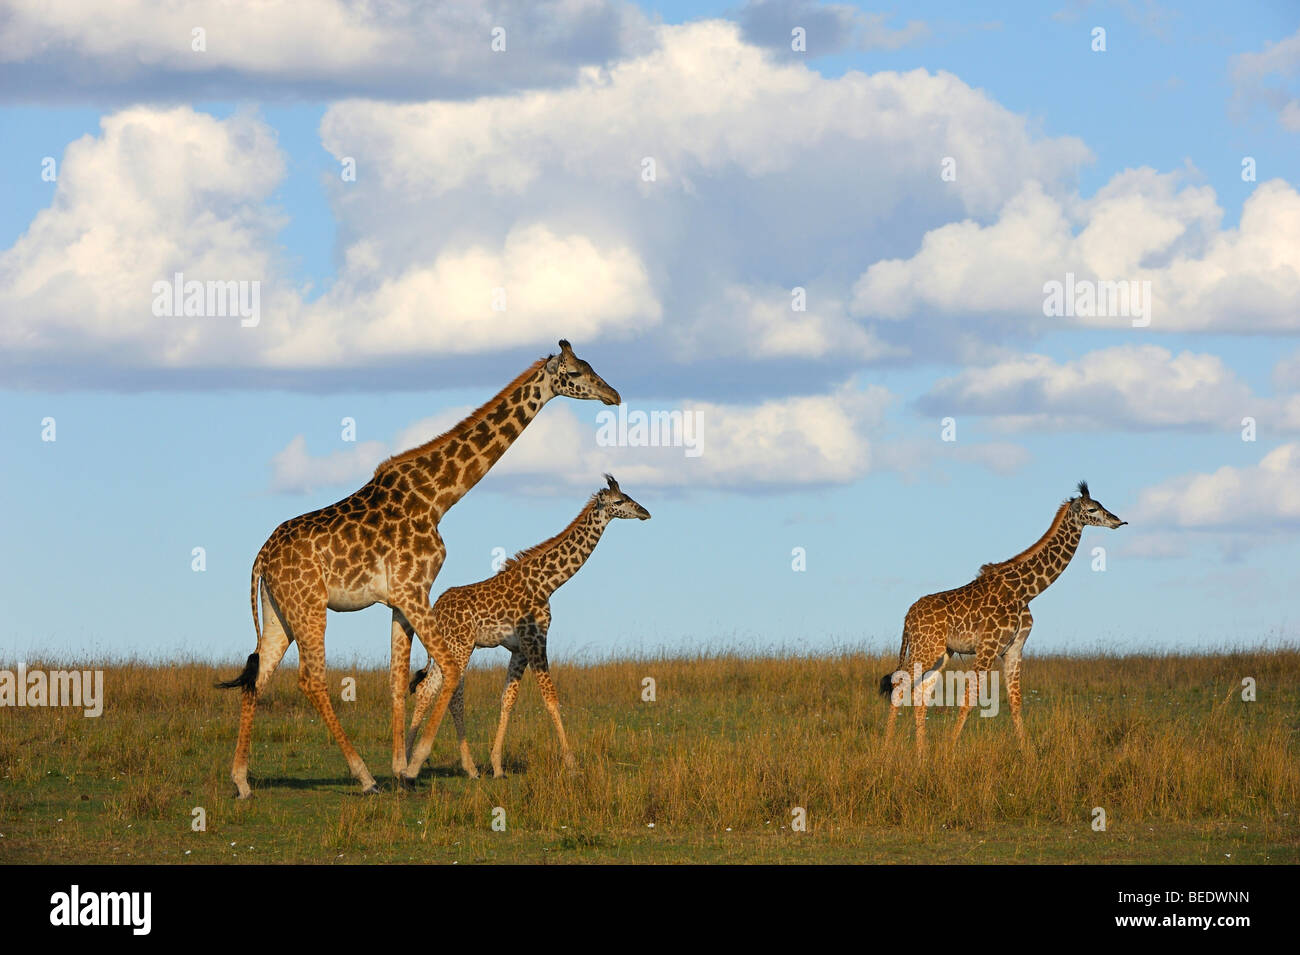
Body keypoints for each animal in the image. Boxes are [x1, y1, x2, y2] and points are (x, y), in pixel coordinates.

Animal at [215, 343, 621, 800]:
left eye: (591, 366)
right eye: (575, 373)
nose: (614, 395)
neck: (437, 497)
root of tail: (261, 557)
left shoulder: (399, 599)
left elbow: (396, 680)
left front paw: (399, 766)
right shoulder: (415, 590)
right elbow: (447, 670)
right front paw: (412, 766)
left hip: (278, 611)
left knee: (258, 674)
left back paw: (242, 781)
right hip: (309, 606)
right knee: (311, 679)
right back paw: (364, 778)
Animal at [405, 478, 650, 784]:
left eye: (628, 496)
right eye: (619, 501)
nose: (644, 512)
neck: (547, 584)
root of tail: (436, 609)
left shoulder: (519, 648)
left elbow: (508, 700)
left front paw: (497, 766)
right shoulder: (536, 639)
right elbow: (551, 698)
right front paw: (572, 765)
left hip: (450, 646)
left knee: (427, 689)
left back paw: (409, 760)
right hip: (462, 645)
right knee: (450, 695)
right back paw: (458, 767)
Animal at [883, 480, 1128, 748]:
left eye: (1101, 505)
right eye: (1092, 509)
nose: (1118, 521)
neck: (1025, 592)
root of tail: (907, 616)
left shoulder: (1013, 648)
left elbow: (1015, 701)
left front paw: (1026, 751)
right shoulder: (988, 646)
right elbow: (970, 698)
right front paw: (949, 749)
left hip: (940, 654)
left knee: (920, 696)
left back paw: (922, 753)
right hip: (925, 649)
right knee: (899, 684)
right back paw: (886, 749)